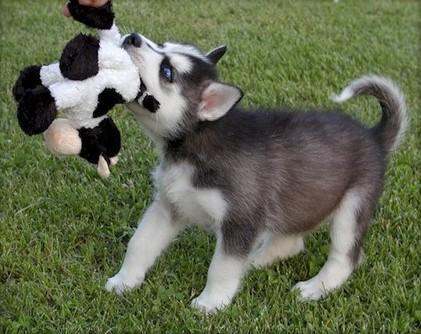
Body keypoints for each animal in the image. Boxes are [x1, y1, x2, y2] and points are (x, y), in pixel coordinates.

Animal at [106, 32, 406, 312]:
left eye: (167, 72)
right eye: (163, 44)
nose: (132, 37)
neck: (195, 146)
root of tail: (374, 136)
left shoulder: (240, 220)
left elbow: (221, 267)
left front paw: (211, 303)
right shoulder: (168, 205)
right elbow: (139, 243)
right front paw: (123, 282)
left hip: (353, 206)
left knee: (346, 257)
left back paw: (315, 287)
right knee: (291, 242)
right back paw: (253, 262)